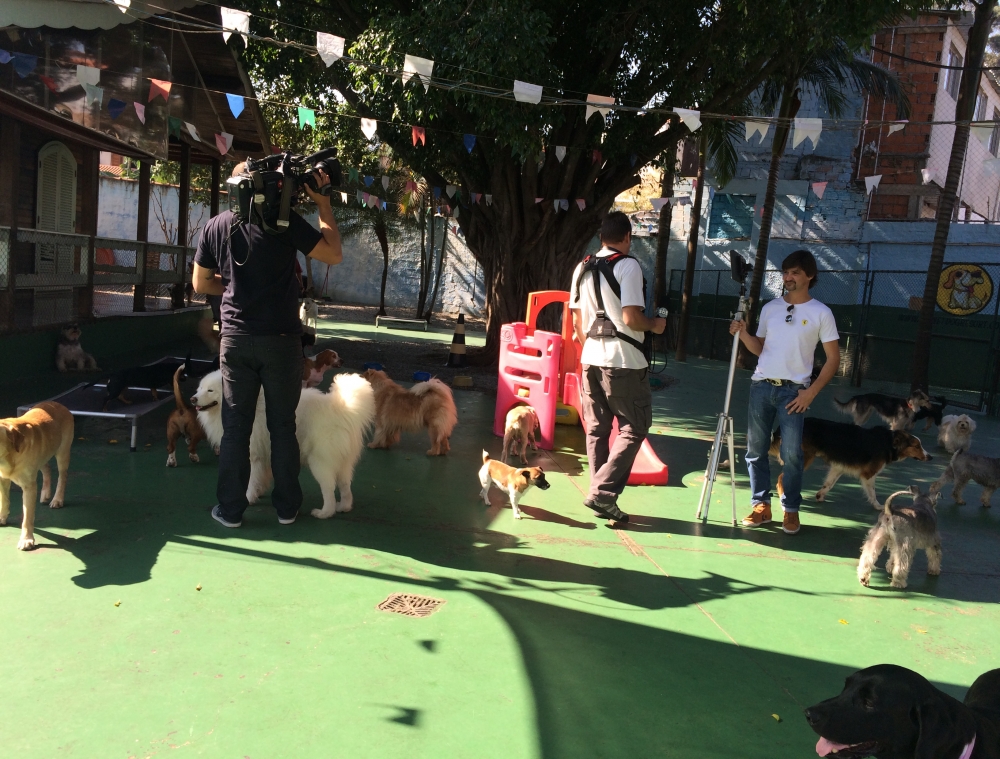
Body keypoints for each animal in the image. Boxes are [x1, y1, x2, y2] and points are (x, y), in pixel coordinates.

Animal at [0, 404, 74, 552]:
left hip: (62, 453)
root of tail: (60, 405)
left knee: (63, 476)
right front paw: (2, 518)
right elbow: (4, 501)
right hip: (43, 456)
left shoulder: (29, 487)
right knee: (47, 468)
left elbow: (27, 517)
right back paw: (45, 494)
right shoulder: (2, 479)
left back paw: (57, 499)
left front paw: (26, 540)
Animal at [191, 372, 376, 520]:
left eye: (210, 390)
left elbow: (251, 479)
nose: (193, 398)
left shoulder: (252, 454)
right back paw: (343, 507)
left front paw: (249, 498)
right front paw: (259, 492)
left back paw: (324, 513)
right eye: (199, 388)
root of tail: (342, 409)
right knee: (345, 486)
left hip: (320, 462)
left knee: (329, 488)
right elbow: (260, 477)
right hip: (343, 462)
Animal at [772, 418, 928, 508]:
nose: (930, 457)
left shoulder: (838, 467)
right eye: (917, 446)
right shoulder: (869, 474)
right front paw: (878, 506)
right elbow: (872, 492)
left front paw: (820, 496)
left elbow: (829, 484)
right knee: (781, 477)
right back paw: (782, 494)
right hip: (804, 458)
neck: (889, 443)